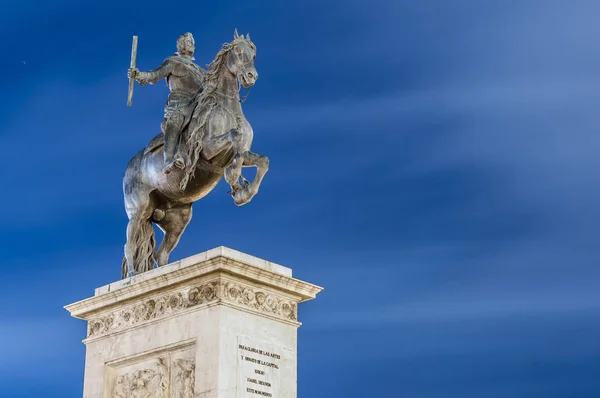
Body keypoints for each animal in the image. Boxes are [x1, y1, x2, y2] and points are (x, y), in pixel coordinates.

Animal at [120, 31, 268, 278]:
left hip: (178, 219)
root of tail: (128, 168)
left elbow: (260, 160)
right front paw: (234, 180)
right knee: (130, 243)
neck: (227, 108)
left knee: (160, 254)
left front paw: (243, 191)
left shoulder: (243, 153)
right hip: (139, 210)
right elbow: (235, 136)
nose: (251, 75)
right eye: (238, 51)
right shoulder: (207, 150)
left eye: (253, 54)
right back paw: (132, 276)